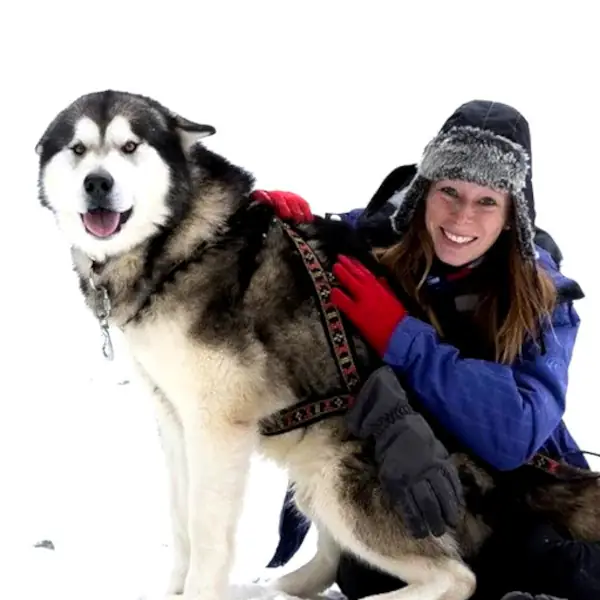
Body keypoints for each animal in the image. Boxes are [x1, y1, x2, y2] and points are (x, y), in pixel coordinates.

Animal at [35, 90, 600, 600]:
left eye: (130, 145)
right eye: (79, 149)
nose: (98, 183)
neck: (182, 244)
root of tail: (516, 477)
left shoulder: (217, 425)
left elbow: (206, 535)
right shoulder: (173, 416)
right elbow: (180, 521)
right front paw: (174, 589)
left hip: (342, 477)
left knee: (457, 578)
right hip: (311, 471)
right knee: (332, 559)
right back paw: (274, 591)